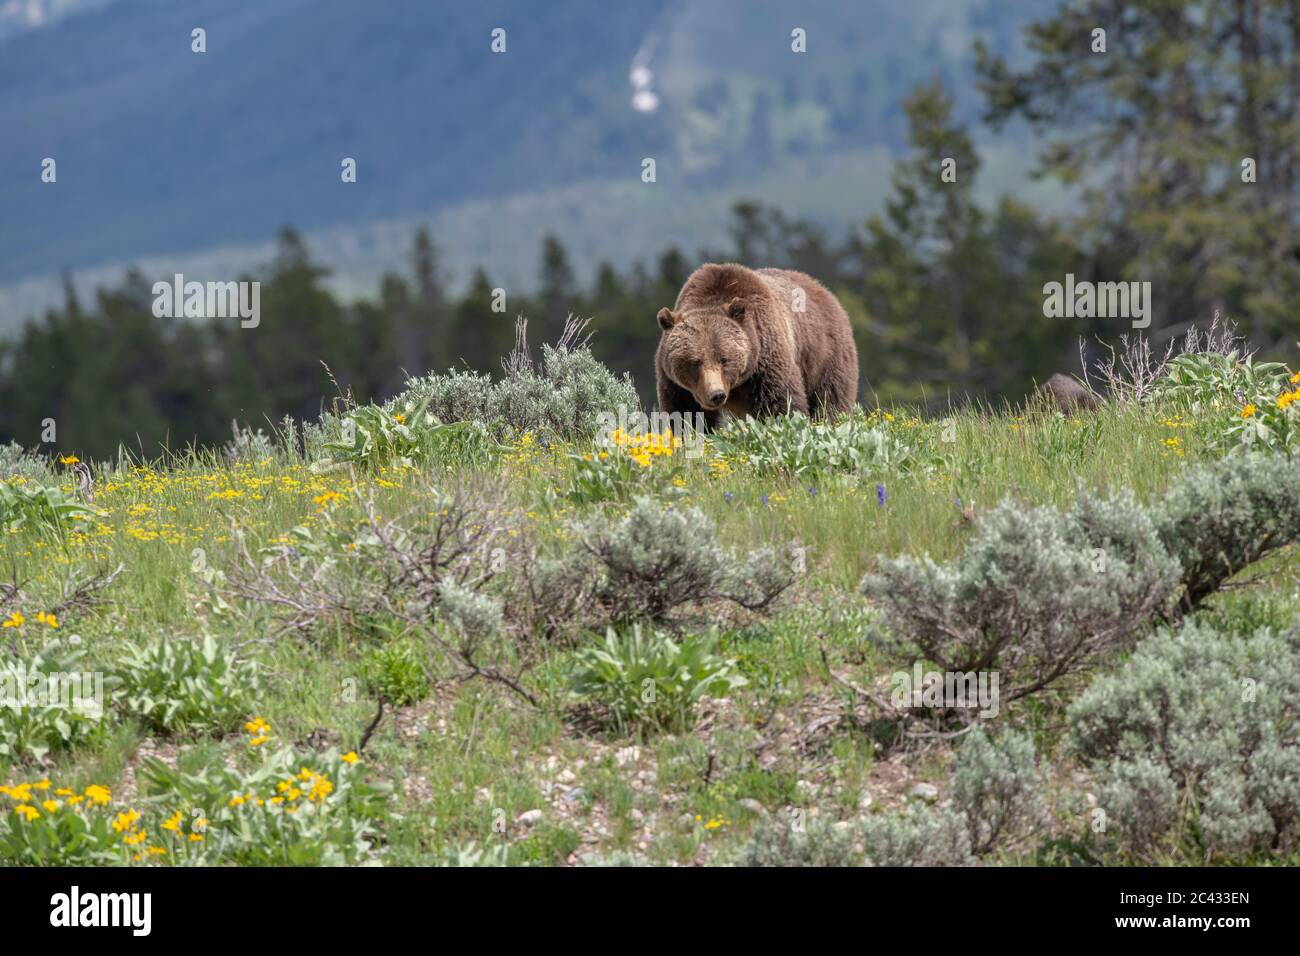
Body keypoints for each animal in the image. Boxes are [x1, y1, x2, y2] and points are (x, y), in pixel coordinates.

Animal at [655, 261, 857, 426]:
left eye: (724, 359)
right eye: (694, 362)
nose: (717, 395)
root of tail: (823, 289)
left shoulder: (765, 360)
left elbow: (781, 404)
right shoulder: (677, 385)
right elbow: (684, 415)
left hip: (824, 355)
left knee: (830, 398)